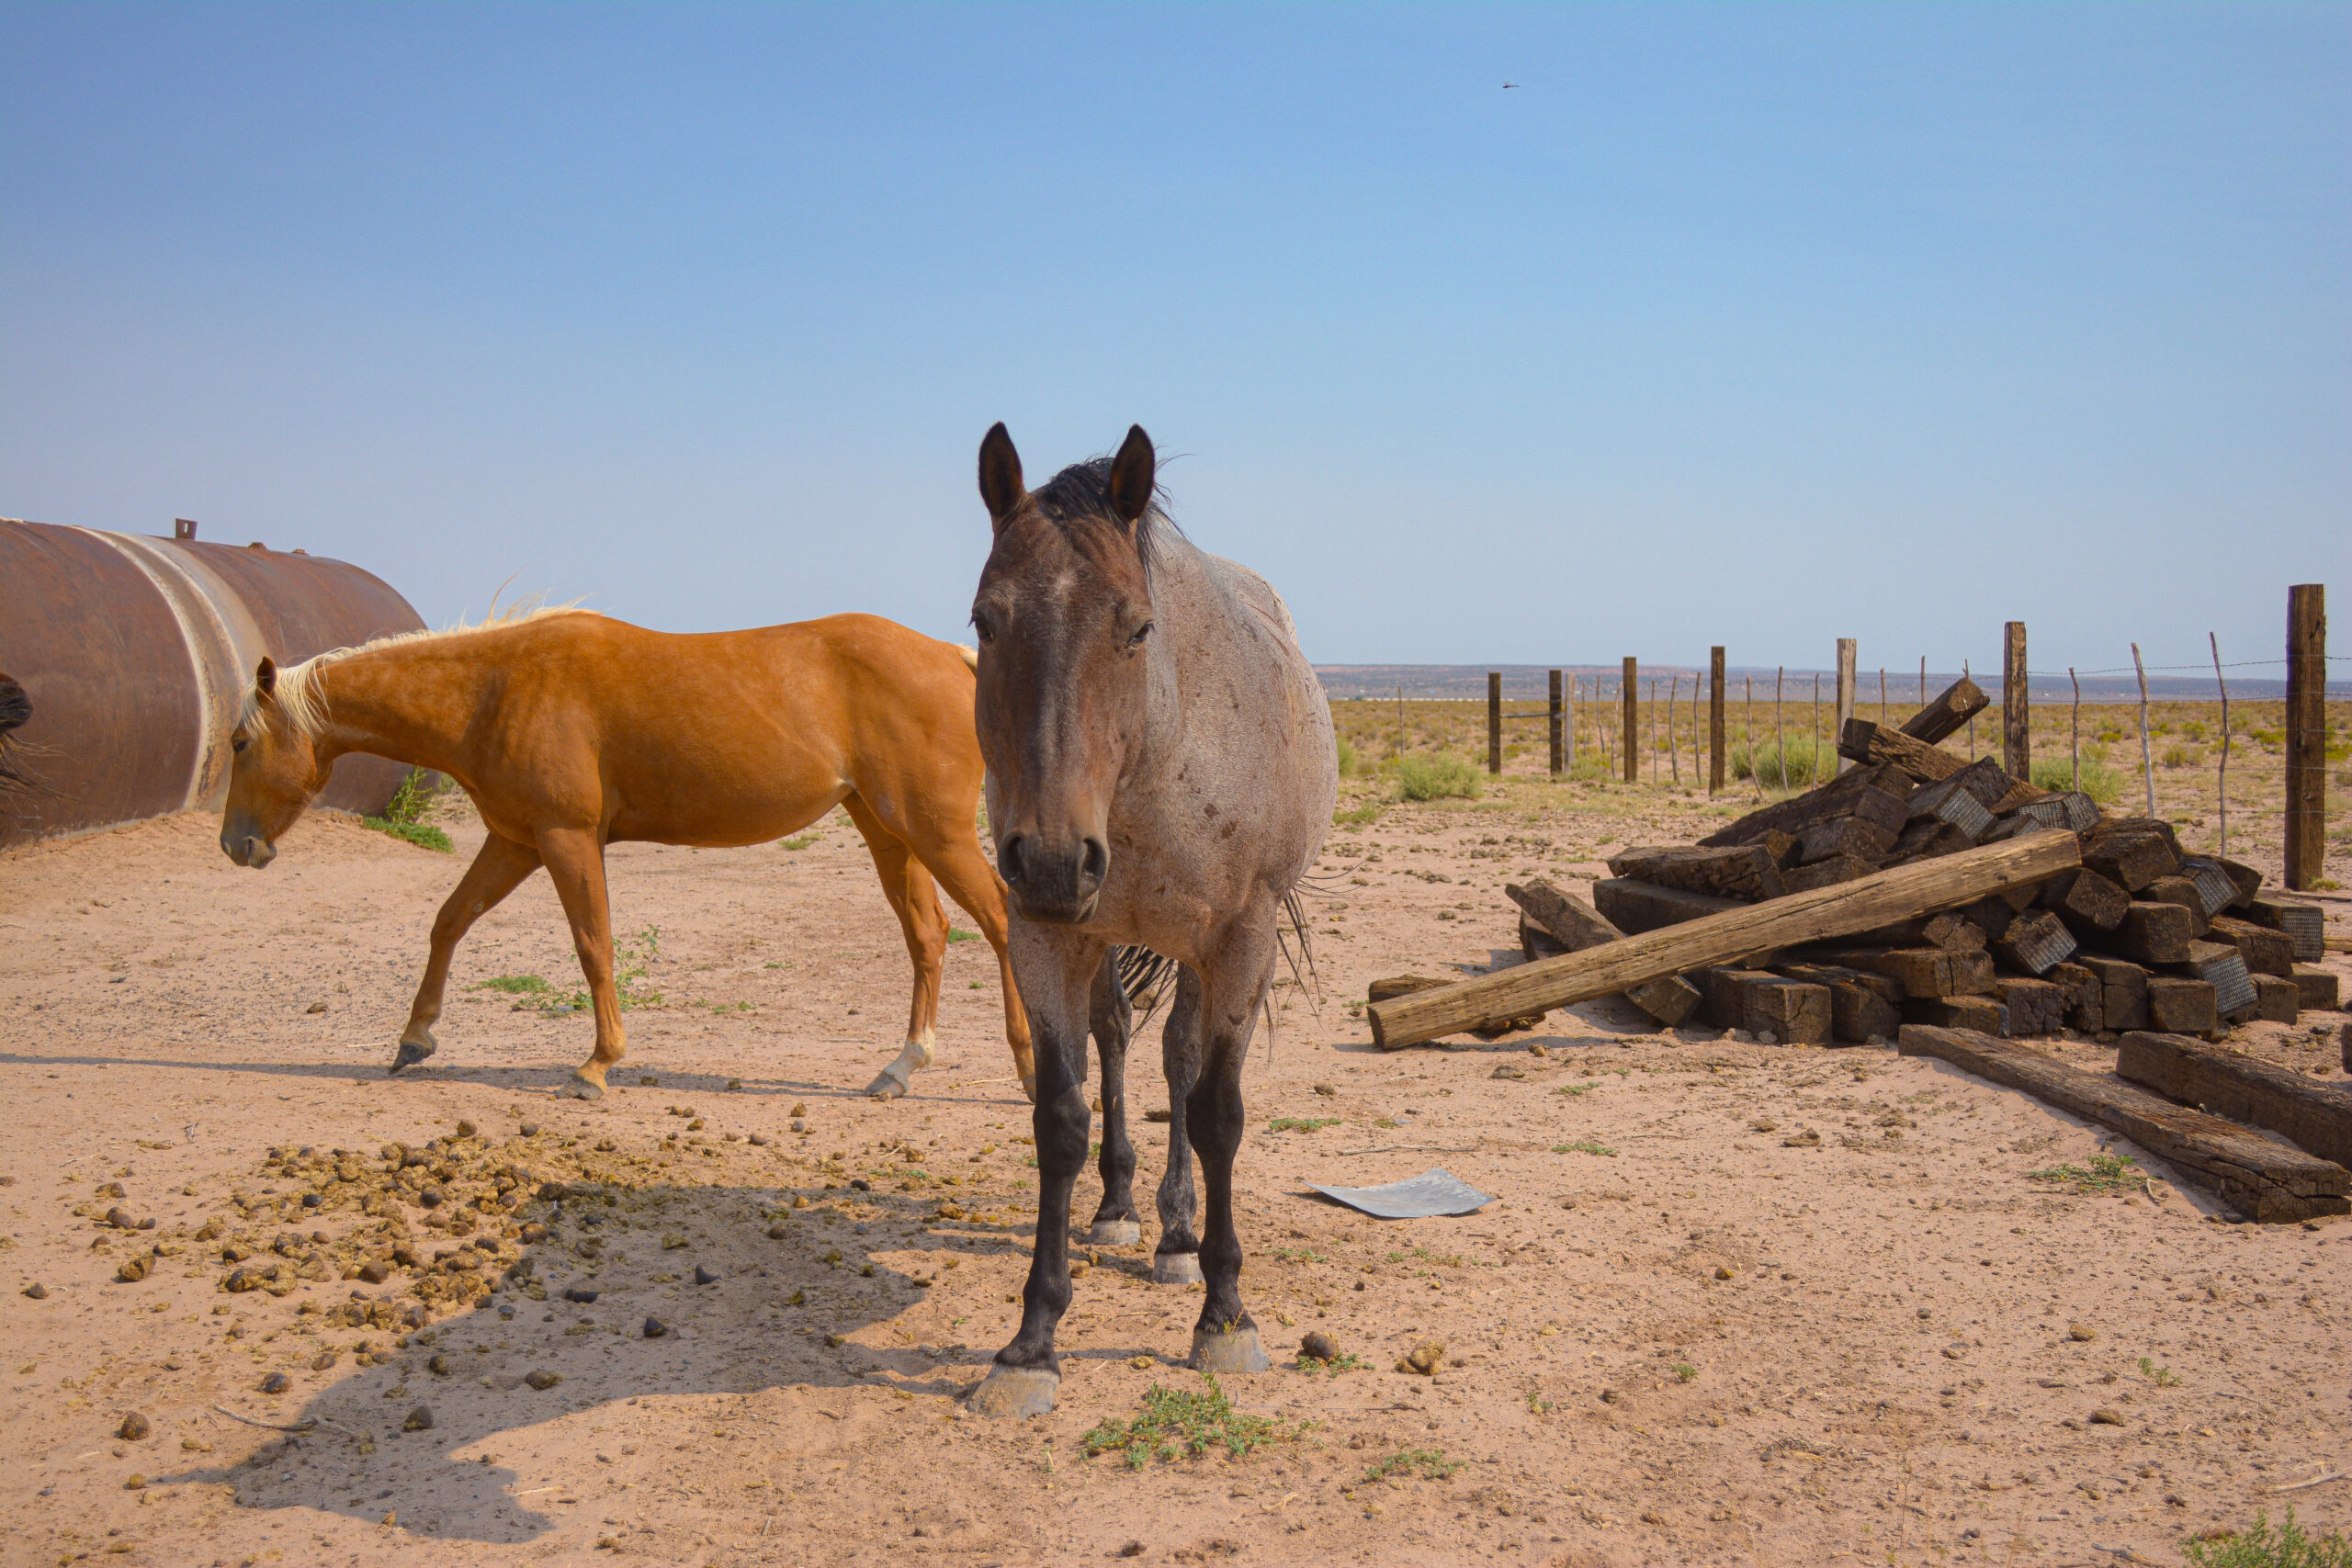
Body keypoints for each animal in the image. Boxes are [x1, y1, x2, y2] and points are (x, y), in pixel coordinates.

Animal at [218, 606, 1035, 1102]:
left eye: (239, 742)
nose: (235, 844)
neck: (494, 688)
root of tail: (954, 657)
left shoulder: (565, 838)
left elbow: (593, 944)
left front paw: (597, 1064)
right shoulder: (514, 840)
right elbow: (449, 920)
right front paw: (414, 1038)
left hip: (936, 834)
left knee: (1000, 924)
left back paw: (1030, 1070)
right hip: (890, 833)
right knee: (929, 936)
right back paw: (900, 1066)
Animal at [962, 424, 1336, 1419]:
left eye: (1135, 627)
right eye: (984, 621)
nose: (1056, 858)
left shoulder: (1239, 941)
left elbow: (1217, 1113)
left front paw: (1225, 1313)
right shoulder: (1046, 934)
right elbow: (1061, 1116)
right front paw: (1031, 1341)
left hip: (1208, 954)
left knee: (1180, 1060)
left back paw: (1178, 1238)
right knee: (1127, 1038)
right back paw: (1125, 1210)